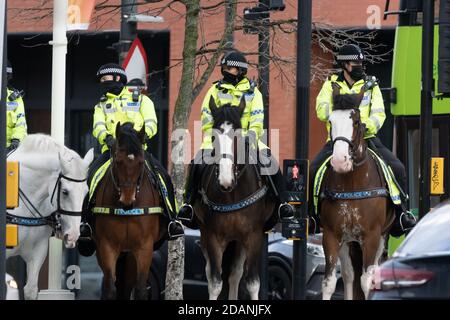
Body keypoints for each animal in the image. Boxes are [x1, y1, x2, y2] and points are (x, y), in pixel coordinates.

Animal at [91, 122, 165, 300]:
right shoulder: (107, 245)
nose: (127, 201)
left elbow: (139, 289)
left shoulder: (144, 247)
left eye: (140, 162)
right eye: (118, 161)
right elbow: (110, 288)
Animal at [194, 97, 278, 300]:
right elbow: (215, 283)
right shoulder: (213, 237)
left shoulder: (254, 236)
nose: (226, 180)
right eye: (213, 137)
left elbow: (253, 283)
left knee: (235, 275)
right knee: (214, 272)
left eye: (238, 137)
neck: (231, 193)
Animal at [318, 93, 396, 300]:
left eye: (356, 121)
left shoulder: (371, 236)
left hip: (381, 237)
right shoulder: (331, 235)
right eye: (330, 121)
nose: (340, 161)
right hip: (348, 240)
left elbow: (367, 281)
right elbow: (329, 283)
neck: (352, 182)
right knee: (348, 274)